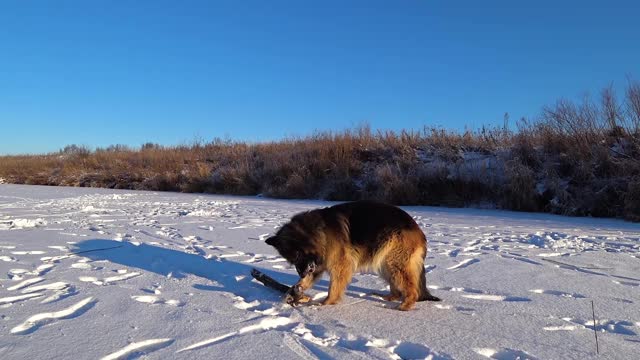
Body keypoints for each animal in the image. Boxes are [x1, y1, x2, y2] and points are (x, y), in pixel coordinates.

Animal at [264, 201, 440, 310]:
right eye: (291, 260)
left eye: (297, 255)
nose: (301, 273)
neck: (319, 232)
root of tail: (417, 228)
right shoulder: (317, 263)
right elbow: (307, 280)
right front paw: (294, 291)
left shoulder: (339, 265)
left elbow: (333, 286)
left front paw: (326, 303)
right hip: (384, 264)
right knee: (396, 287)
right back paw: (390, 297)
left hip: (395, 263)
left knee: (412, 288)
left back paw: (405, 305)